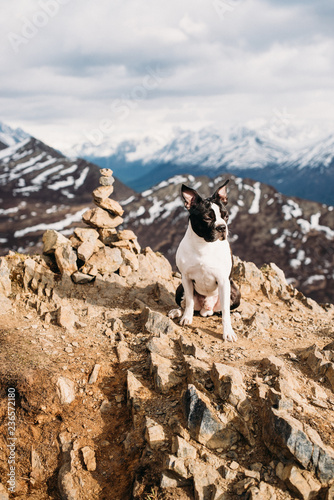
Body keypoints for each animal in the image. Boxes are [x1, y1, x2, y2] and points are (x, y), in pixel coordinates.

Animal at [170, 182, 240, 342]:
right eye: (207, 218)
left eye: (226, 216)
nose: (222, 227)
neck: (204, 245)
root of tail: (206, 310)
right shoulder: (186, 278)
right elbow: (189, 301)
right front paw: (186, 318)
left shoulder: (223, 281)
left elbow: (225, 311)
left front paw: (228, 332)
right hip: (179, 288)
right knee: (184, 303)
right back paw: (177, 312)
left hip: (235, 291)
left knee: (223, 311)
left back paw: (235, 315)